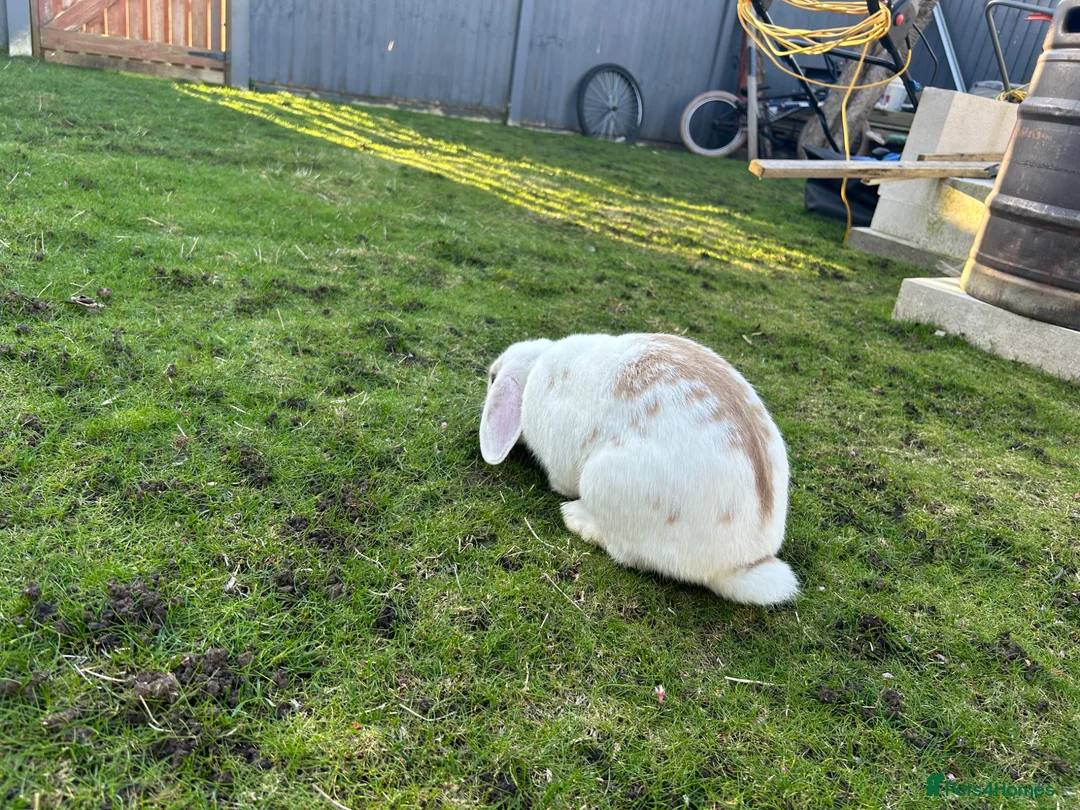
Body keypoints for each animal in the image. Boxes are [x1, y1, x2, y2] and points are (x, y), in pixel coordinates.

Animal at [479, 333, 798, 606]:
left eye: (493, 378)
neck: (535, 366)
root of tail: (743, 562)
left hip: (603, 483)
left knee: (623, 551)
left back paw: (575, 516)